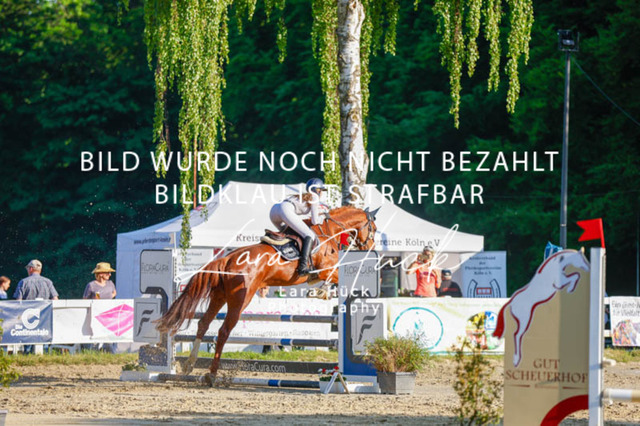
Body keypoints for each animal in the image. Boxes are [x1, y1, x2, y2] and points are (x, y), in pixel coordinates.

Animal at [155, 205, 379, 382]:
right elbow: (334, 275)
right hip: (241, 299)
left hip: (219, 297)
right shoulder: (325, 268)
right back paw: (211, 374)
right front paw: (321, 291)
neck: (329, 231)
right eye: (374, 229)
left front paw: (320, 291)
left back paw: (190, 365)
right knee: (223, 331)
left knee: (203, 324)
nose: (370, 248)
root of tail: (226, 259)